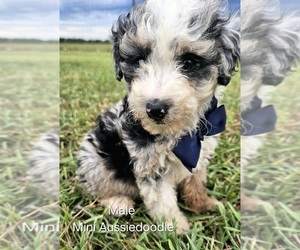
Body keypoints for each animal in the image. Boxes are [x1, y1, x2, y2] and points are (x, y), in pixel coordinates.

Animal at [77, 0, 239, 233]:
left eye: (189, 62)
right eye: (138, 60)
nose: (155, 109)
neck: (180, 133)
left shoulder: (199, 156)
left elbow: (196, 181)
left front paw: (203, 204)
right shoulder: (150, 165)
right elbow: (163, 201)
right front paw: (178, 231)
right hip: (94, 160)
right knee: (99, 188)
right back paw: (118, 202)